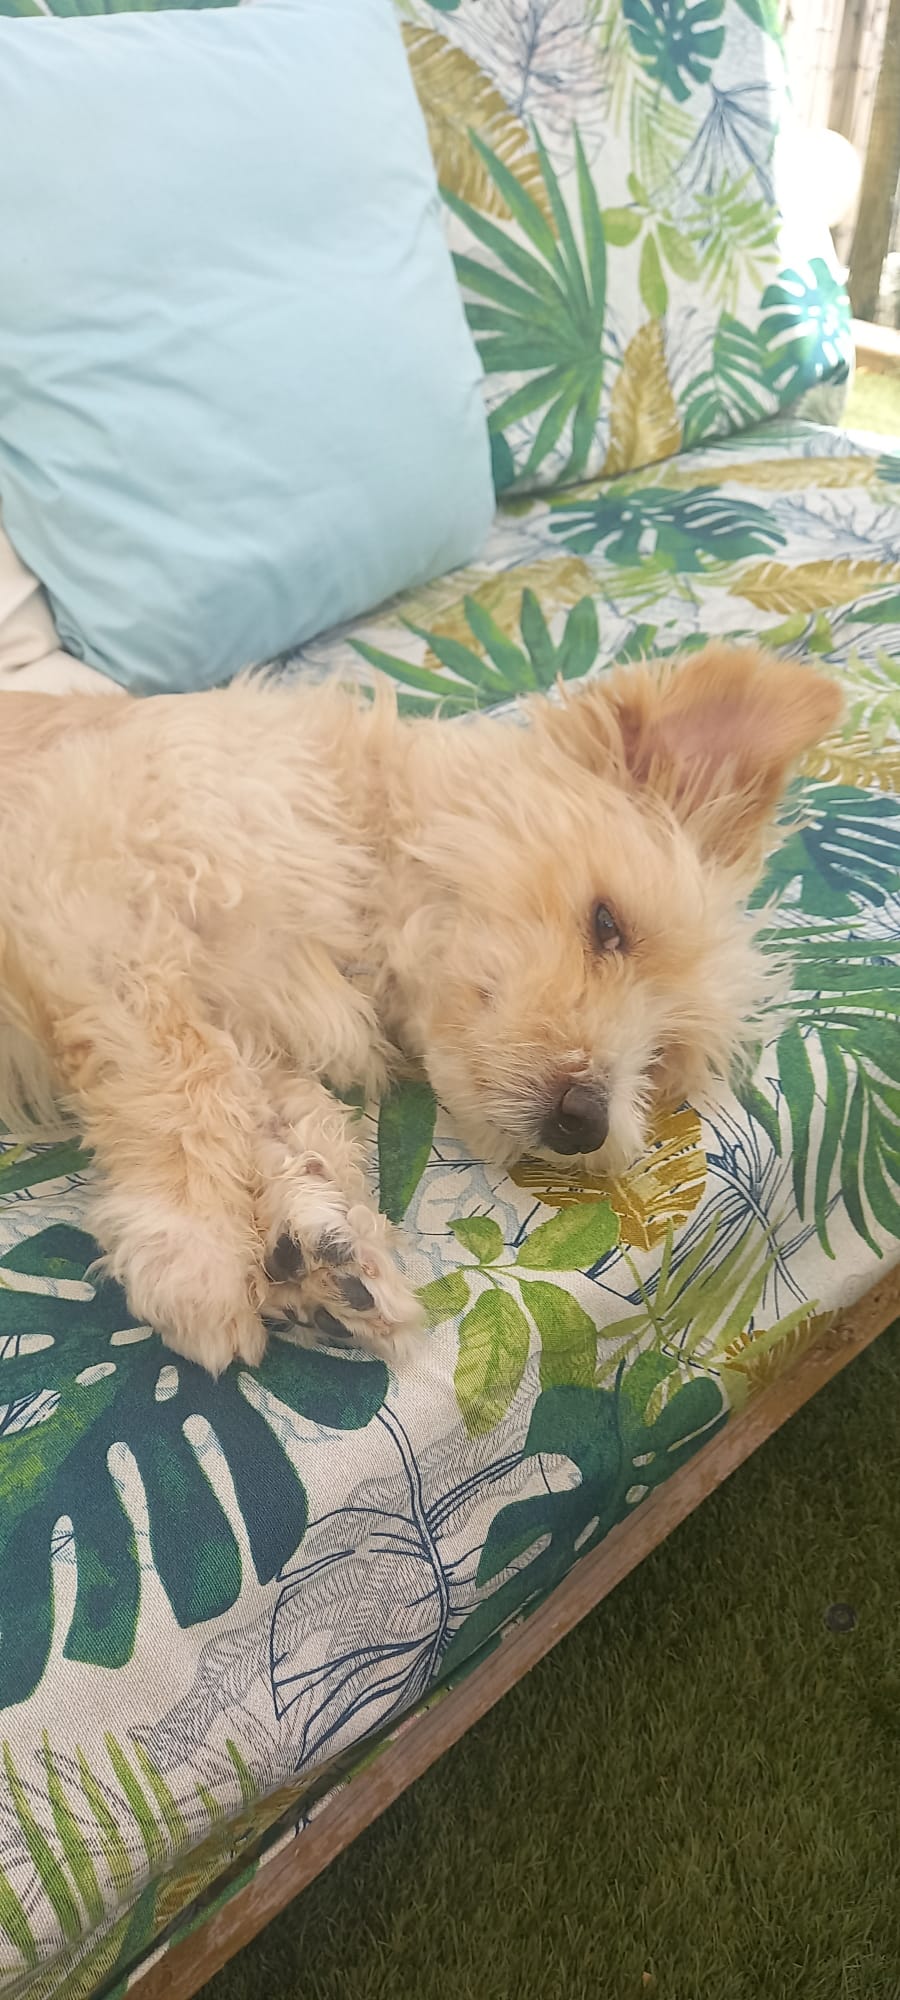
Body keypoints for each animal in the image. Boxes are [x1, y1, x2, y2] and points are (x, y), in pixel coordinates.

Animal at [0, 642, 841, 1374]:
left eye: (658, 1061)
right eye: (609, 924)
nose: (585, 1119)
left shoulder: (257, 1026)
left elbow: (287, 1122)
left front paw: (321, 1243)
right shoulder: (100, 917)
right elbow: (182, 1078)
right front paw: (192, 1245)